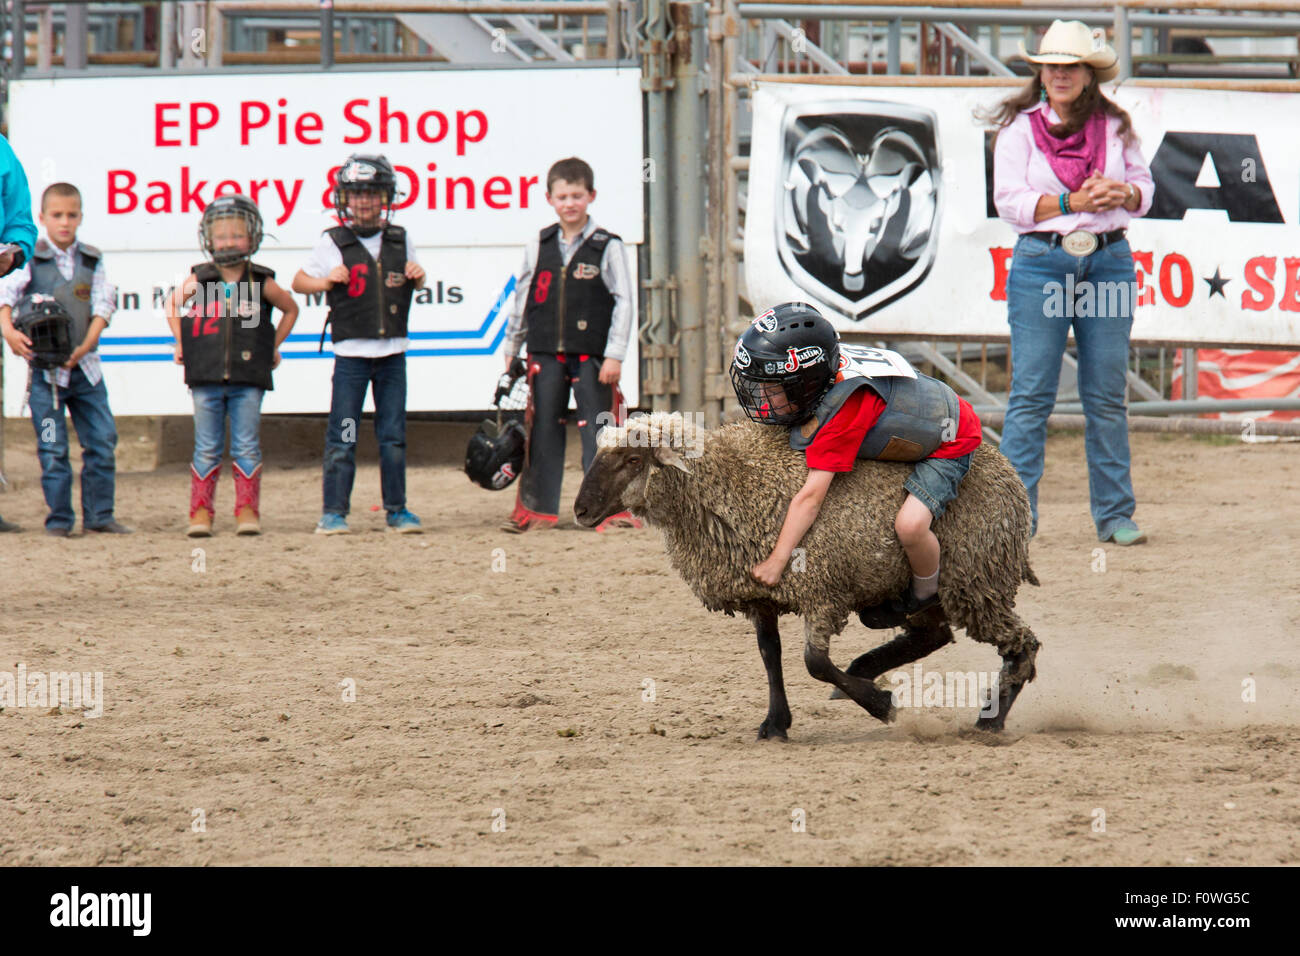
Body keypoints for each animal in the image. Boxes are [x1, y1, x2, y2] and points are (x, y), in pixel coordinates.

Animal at [574, 411, 1040, 738]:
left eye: (633, 459)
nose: (580, 511)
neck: (732, 481)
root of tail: (1011, 475)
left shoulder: (822, 590)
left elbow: (814, 662)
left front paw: (881, 704)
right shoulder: (760, 595)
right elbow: (770, 655)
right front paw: (776, 723)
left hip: (976, 579)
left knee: (1022, 644)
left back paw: (989, 722)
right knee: (934, 634)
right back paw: (866, 666)